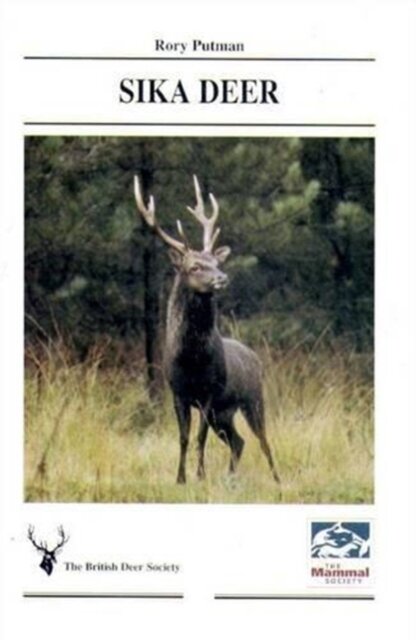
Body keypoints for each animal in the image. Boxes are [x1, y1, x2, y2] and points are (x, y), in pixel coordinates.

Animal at [134, 175, 280, 485]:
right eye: (194, 266)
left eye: (216, 262)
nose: (221, 277)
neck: (192, 359)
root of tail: (254, 356)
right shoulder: (178, 392)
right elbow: (184, 438)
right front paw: (180, 478)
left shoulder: (209, 392)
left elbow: (199, 438)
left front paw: (200, 475)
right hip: (223, 413)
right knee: (238, 441)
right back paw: (231, 478)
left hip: (252, 398)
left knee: (262, 440)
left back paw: (277, 479)